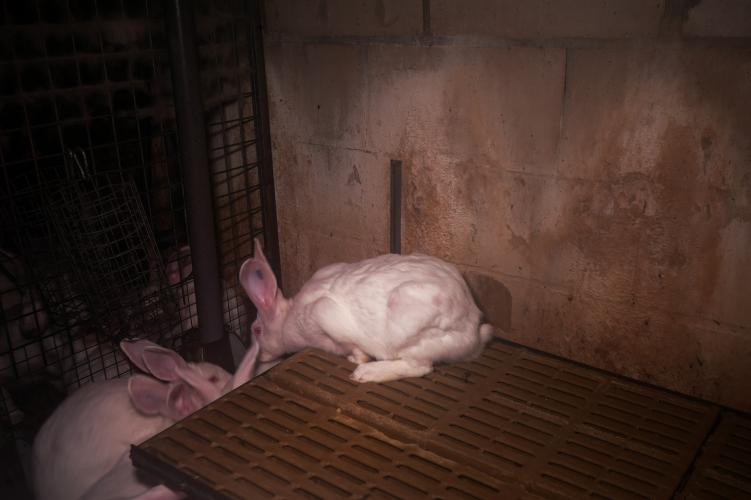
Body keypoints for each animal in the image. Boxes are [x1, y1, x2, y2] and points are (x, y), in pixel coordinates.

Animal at [239, 239, 495, 383]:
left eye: (257, 330)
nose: (260, 357)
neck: (288, 320)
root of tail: (473, 329)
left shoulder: (322, 315)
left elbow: (350, 341)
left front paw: (356, 358)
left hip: (412, 332)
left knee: (419, 367)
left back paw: (365, 373)